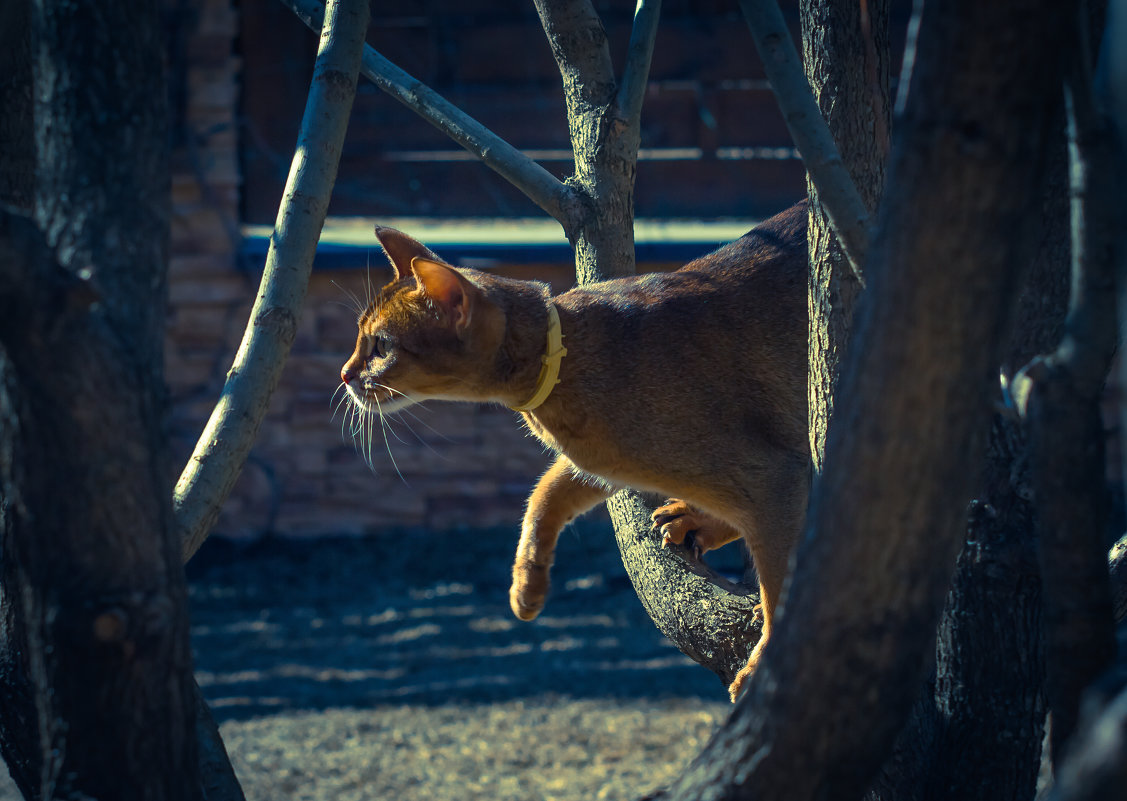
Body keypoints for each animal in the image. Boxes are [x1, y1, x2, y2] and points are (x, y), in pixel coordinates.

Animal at [338, 201, 806, 702]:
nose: (345, 374)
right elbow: (546, 492)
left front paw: (765, 665)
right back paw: (694, 520)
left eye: (381, 347)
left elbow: (781, 585)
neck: (566, 354)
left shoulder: (773, 475)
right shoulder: (603, 460)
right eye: (359, 339)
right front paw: (526, 584)